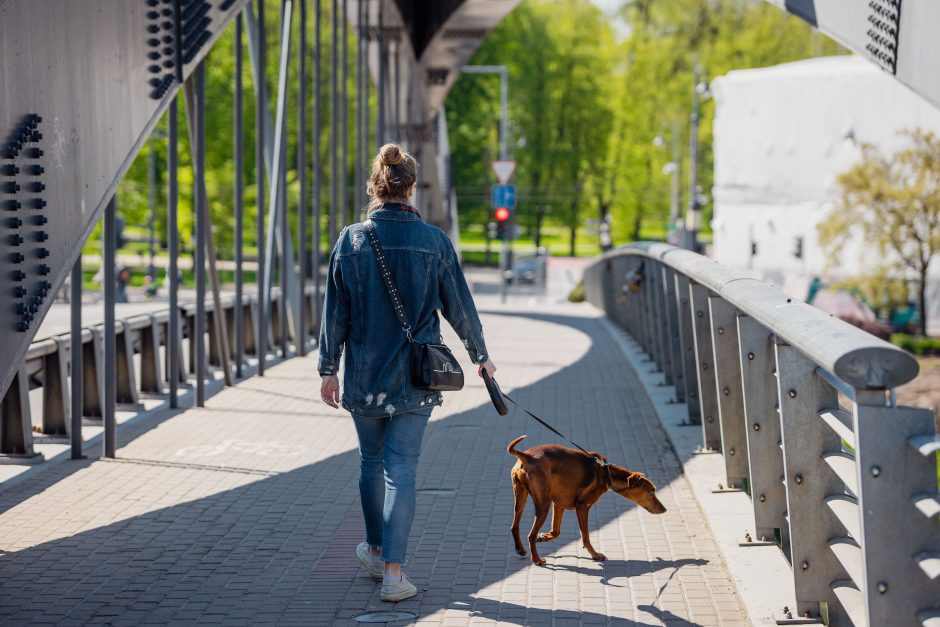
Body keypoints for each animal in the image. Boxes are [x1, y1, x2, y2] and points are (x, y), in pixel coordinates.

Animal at [506, 436, 668, 564]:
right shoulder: (583, 506)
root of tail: (526, 456)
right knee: (530, 535)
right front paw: (595, 555)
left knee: (514, 526)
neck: (606, 473)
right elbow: (585, 536)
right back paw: (537, 560)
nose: (665, 509)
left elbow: (556, 531)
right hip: (543, 505)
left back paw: (521, 549)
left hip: (521, 496)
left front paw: (544, 537)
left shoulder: (558, 504)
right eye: (651, 491)